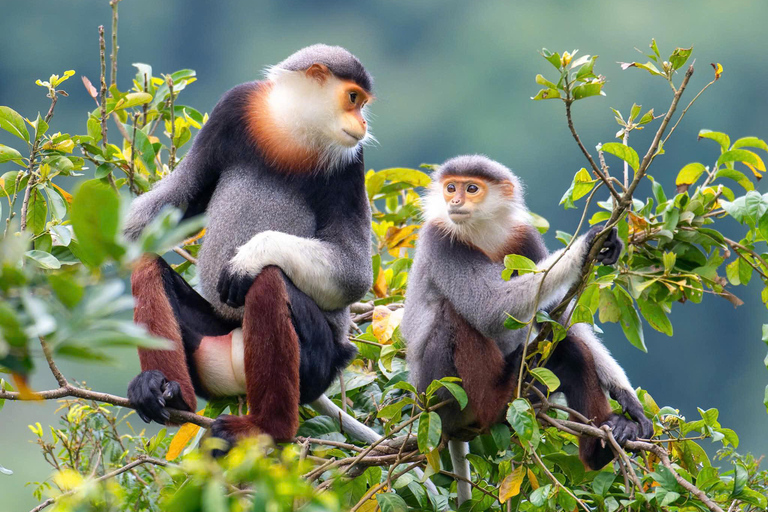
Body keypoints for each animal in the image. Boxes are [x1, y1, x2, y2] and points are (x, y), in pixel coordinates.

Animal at [123, 45, 375, 447]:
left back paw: (266, 427)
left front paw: (250, 257)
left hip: (318, 362)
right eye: (353, 99)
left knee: (267, 280)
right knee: (147, 264)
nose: (362, 122)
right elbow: (181, 197)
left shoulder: (351, 163)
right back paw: (168, 393)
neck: (291, 132)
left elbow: (354, 275)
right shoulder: (232, 107)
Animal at [401, 155, 653, 475]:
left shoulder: (523, 237)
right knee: (452, 316)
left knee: (572, 353)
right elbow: (487, 308)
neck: (481, 231)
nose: (454, 200)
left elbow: (561, 320)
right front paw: (586, 245)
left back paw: (602, 447)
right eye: (450, 187)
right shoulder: (442, 240)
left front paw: (628, 400)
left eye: (471, 188)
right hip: (441, 397)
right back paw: (490, 402)